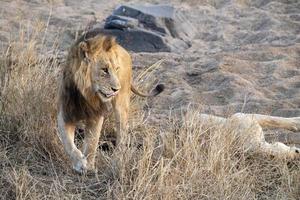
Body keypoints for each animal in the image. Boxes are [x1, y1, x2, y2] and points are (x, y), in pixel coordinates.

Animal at [56, 33, 164, 173]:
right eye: (104, 70)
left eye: (116, 69)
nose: (116, 89)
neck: (87, 94)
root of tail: (123, 49)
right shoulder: (66, 113)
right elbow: (68, 144)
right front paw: (79, 162)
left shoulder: (95, 115)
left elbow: (92, 142)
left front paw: (88, 166)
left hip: (121, 105)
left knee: (122, 133)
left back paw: (117, 160)